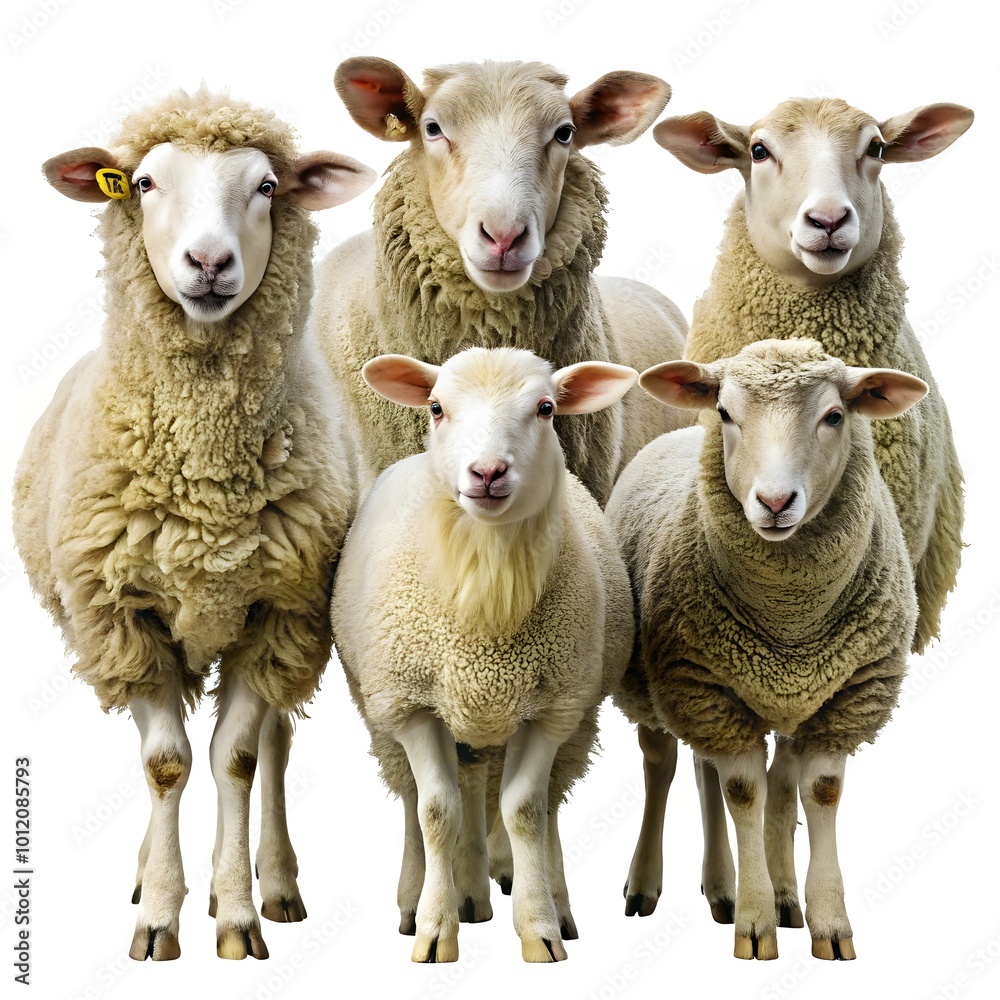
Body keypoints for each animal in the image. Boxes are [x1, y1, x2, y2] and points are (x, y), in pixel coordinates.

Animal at [12, 89, 375, 961]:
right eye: (143, 183)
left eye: (268, 186)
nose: (208, 263)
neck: (206, 493)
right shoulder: (122, 620)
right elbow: (167, 766)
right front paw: (157, 916)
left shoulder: (279, 613)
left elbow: (236, 760)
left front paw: (236, 914)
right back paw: (153, 874)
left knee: (273, 746)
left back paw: (272, 883)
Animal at [329, 346, 636, 963]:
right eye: (436, 407)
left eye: (546, 408)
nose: (488, 473)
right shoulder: (413, 705)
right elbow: (436, 811)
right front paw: (434, 930)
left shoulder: (552, 710)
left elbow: (525, 811)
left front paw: (540, 930)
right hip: (388, 711)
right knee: (422, 798)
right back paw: (432, 898)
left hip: (568, 718)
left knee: (540, 801)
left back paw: (534, 898)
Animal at [607, 337, 927, 960]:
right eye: (726, 413)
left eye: (835, 416)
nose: (775, 502)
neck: (790, 623)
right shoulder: (701, 683)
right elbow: (743, 792)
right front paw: (754, 926)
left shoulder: (844, 698)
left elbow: (817, 792)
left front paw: (825, 920)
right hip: (665, 690)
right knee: (664, 767)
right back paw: (648, 883)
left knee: (739, 774)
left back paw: (741, 889)